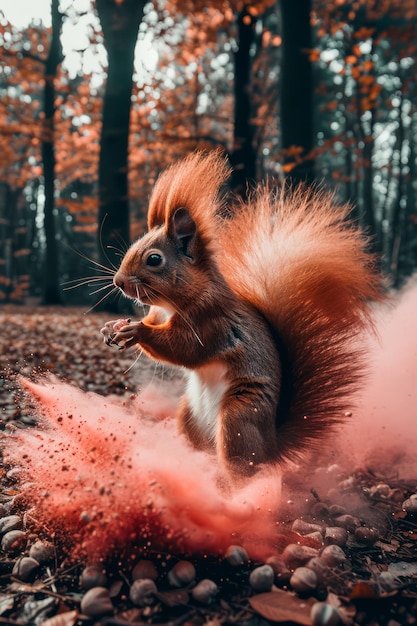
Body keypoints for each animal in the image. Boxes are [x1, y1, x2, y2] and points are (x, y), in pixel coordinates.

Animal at [100, 151, 384, 478]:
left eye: (154, 259)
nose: (118, 282)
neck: (176, 302)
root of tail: (271, 446)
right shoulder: (160, 313)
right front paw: (112, 327)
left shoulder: (213, 321)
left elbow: (185, 348)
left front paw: (136, 331)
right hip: (188, 414)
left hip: (239, 416)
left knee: (244, 467)